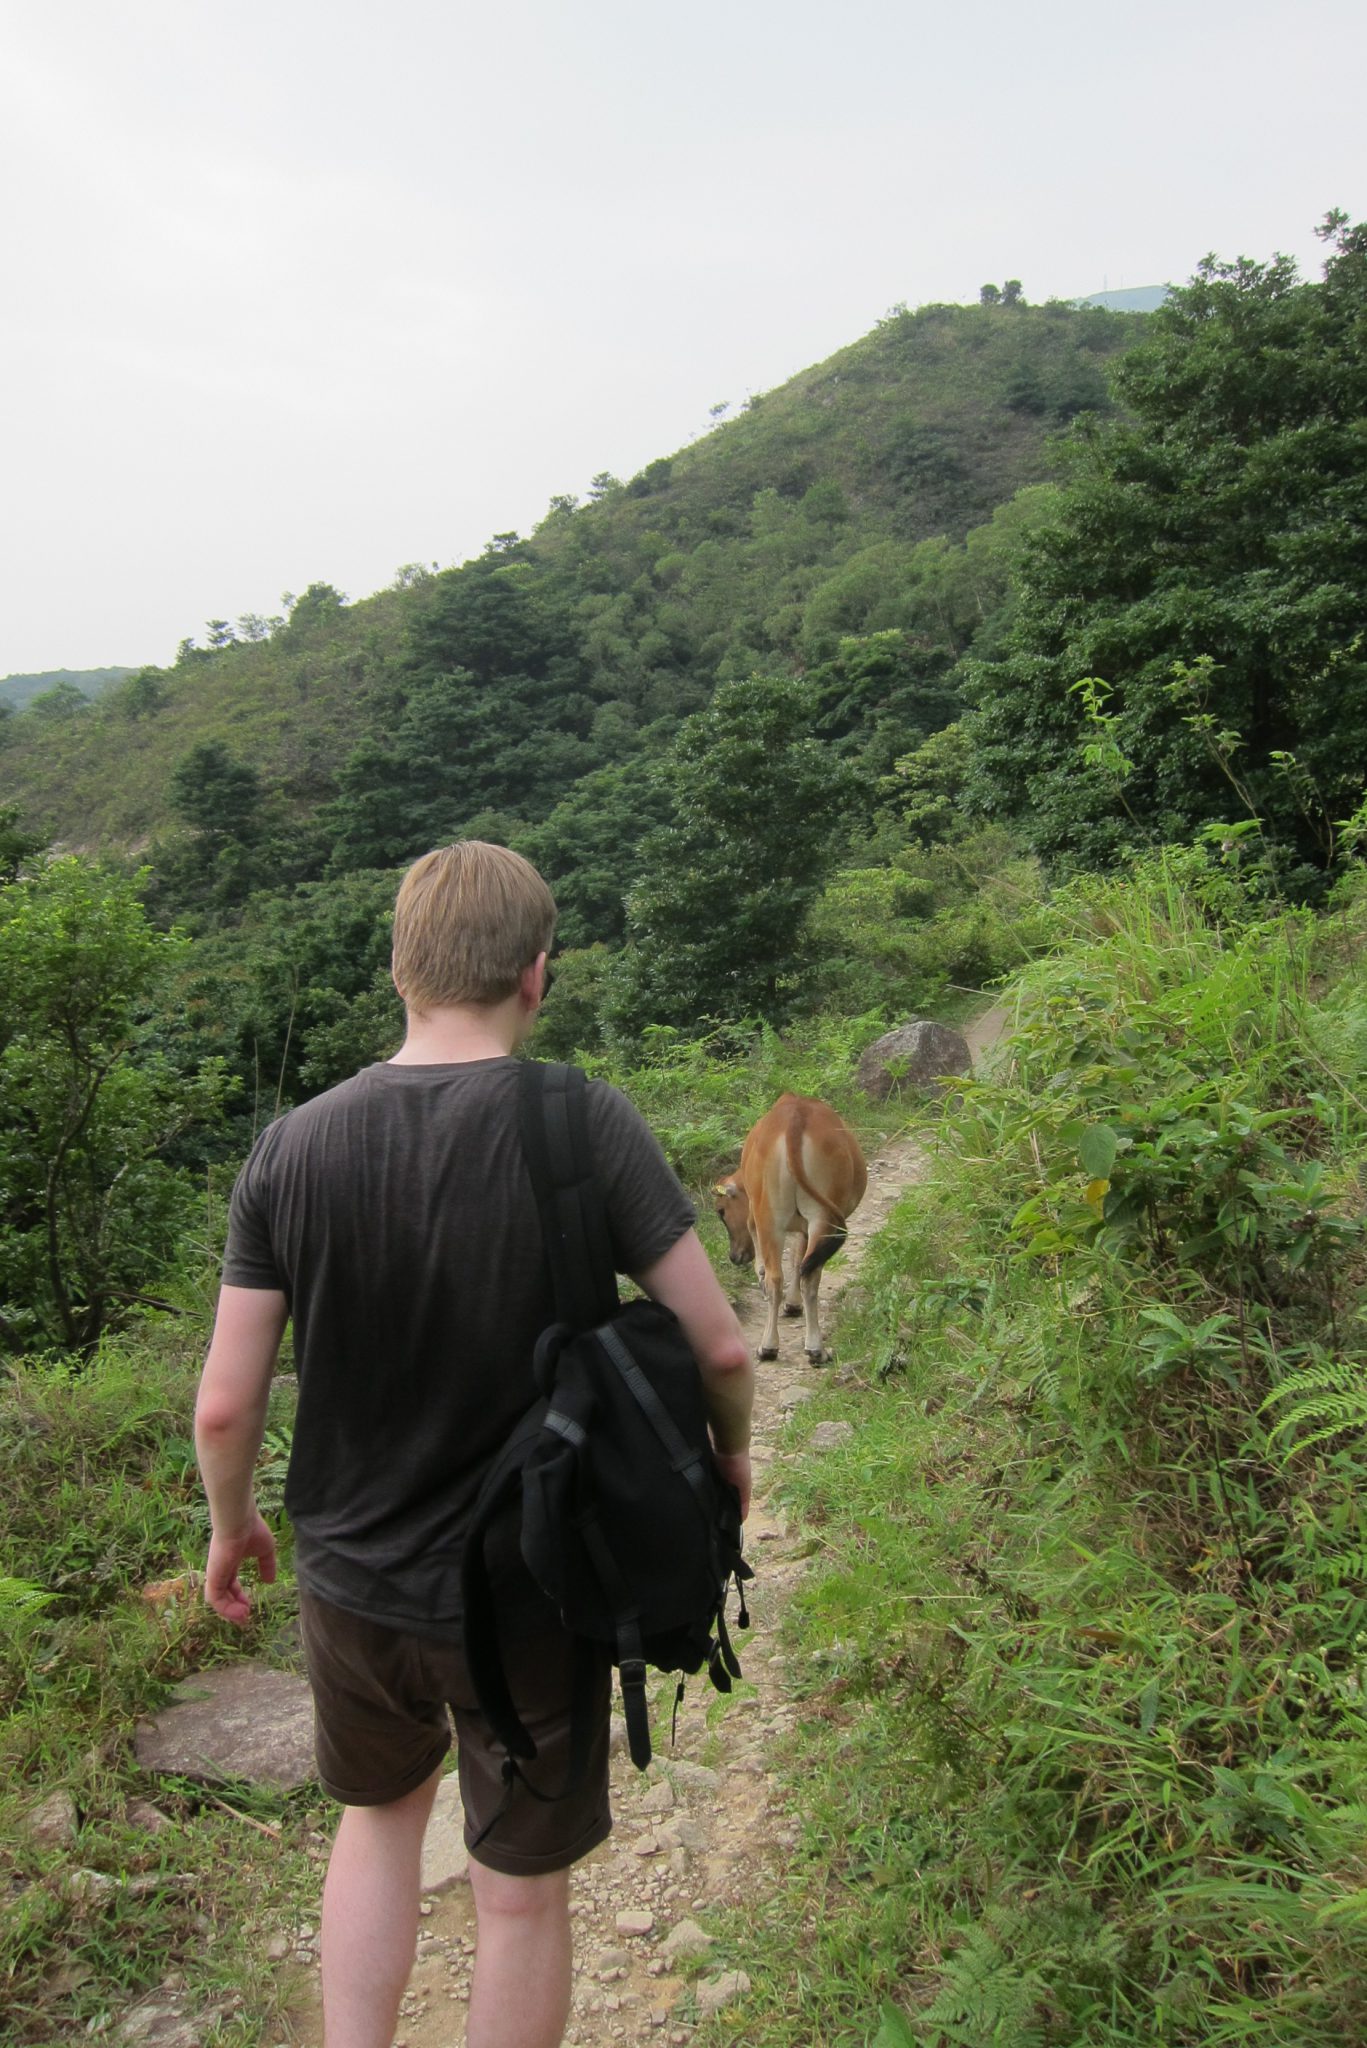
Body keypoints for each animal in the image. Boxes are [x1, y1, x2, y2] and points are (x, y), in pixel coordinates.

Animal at [713, 1094, 867, 1364]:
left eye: (721, 1211)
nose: (734, 1256)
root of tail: (796, 1120)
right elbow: (797, 1258)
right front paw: (793, 1304)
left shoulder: (755, 1217)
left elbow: (779, 1262)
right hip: (817, 1218)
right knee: (807, 1273)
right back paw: (810, 1347)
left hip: (772, 1217)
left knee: (782, 1275)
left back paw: (772, 1346)